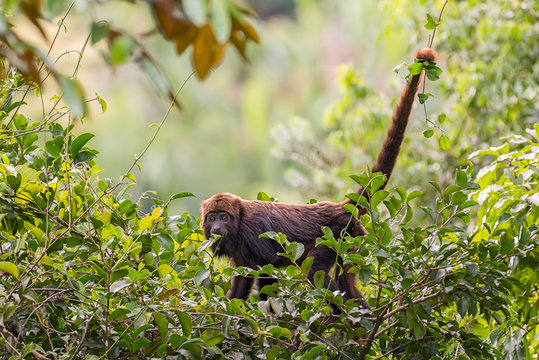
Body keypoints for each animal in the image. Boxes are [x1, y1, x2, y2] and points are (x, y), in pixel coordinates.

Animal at [202, 47, 438, 310]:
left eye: (224, 216)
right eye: (212, 217)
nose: (217, 227)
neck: (239, 220)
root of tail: (340, 207)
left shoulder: (252, 233)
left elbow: (268, 271)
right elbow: (243, 280)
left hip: (336, 234)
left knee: (316, 270)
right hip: (353, 238)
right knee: (347, 282)